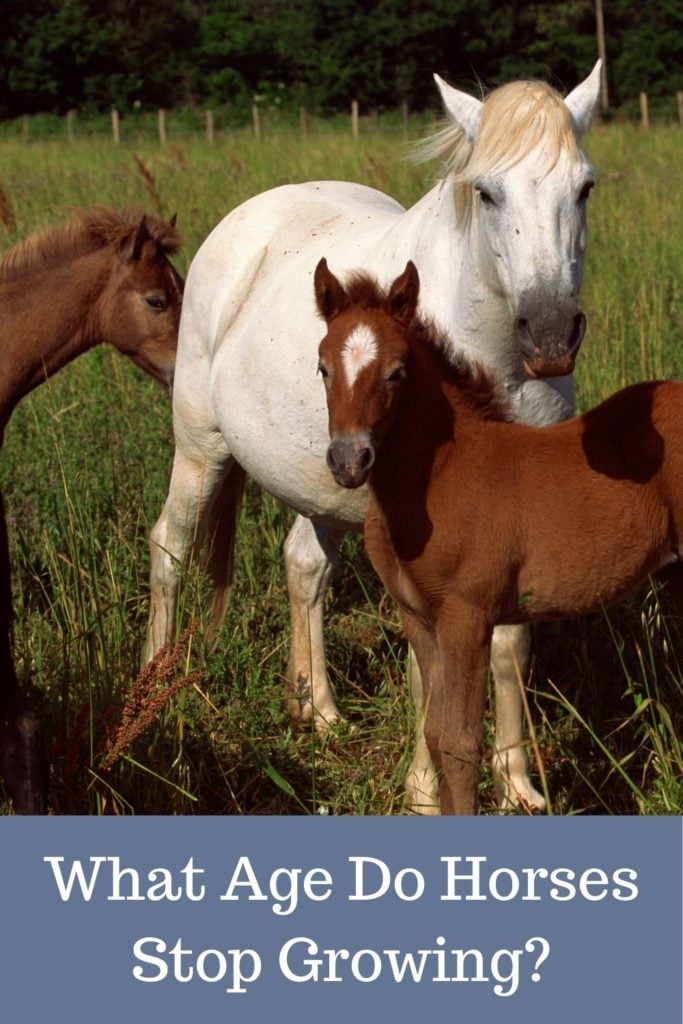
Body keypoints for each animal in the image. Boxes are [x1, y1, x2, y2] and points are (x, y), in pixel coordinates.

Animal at [144, 63, 602, 813]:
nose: (550, 333)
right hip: (199, 447)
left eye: (584, 187)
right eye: (486, 190)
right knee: (170, 549)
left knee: (304, 565)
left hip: (322, 484)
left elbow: (509, 647)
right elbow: (425, 668)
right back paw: (153, 690)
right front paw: (424, 792)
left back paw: (316, 710)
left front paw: (517, 784)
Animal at [314, 257, 683, 814]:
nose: (349, 461)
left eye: (397, 372)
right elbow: (437, 735)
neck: (438, 473)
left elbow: (462, 743)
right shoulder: (419, 617)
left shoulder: (469, 616)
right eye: (323, 368)